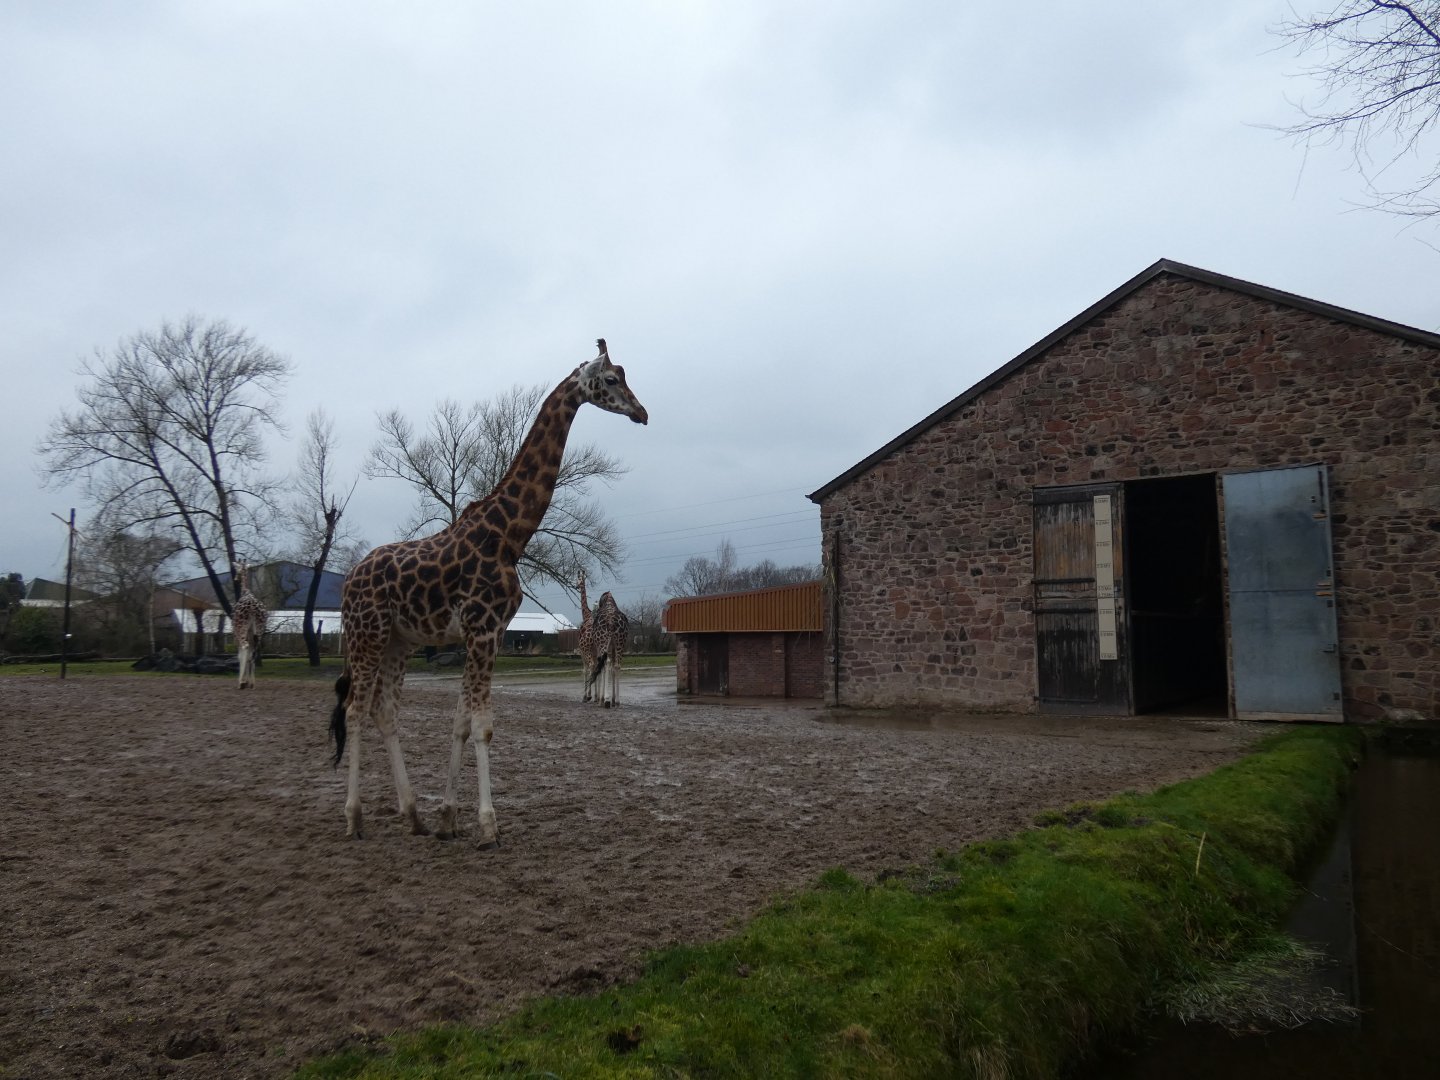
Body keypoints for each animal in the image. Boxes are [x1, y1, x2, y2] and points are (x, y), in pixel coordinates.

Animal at [329, 339, 647, 845]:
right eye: (612, 379)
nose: (642, 413)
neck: (508, 536)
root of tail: (348, 580)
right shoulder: (481, 629)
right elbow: (482, 726)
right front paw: (487, 824)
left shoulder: (490, 633)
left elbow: (461, 722)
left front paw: (446, 818)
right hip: (367, 635)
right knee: (356, 710)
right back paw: (355, 818)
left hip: (399, 640)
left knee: (385, 710)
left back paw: (413, 814)